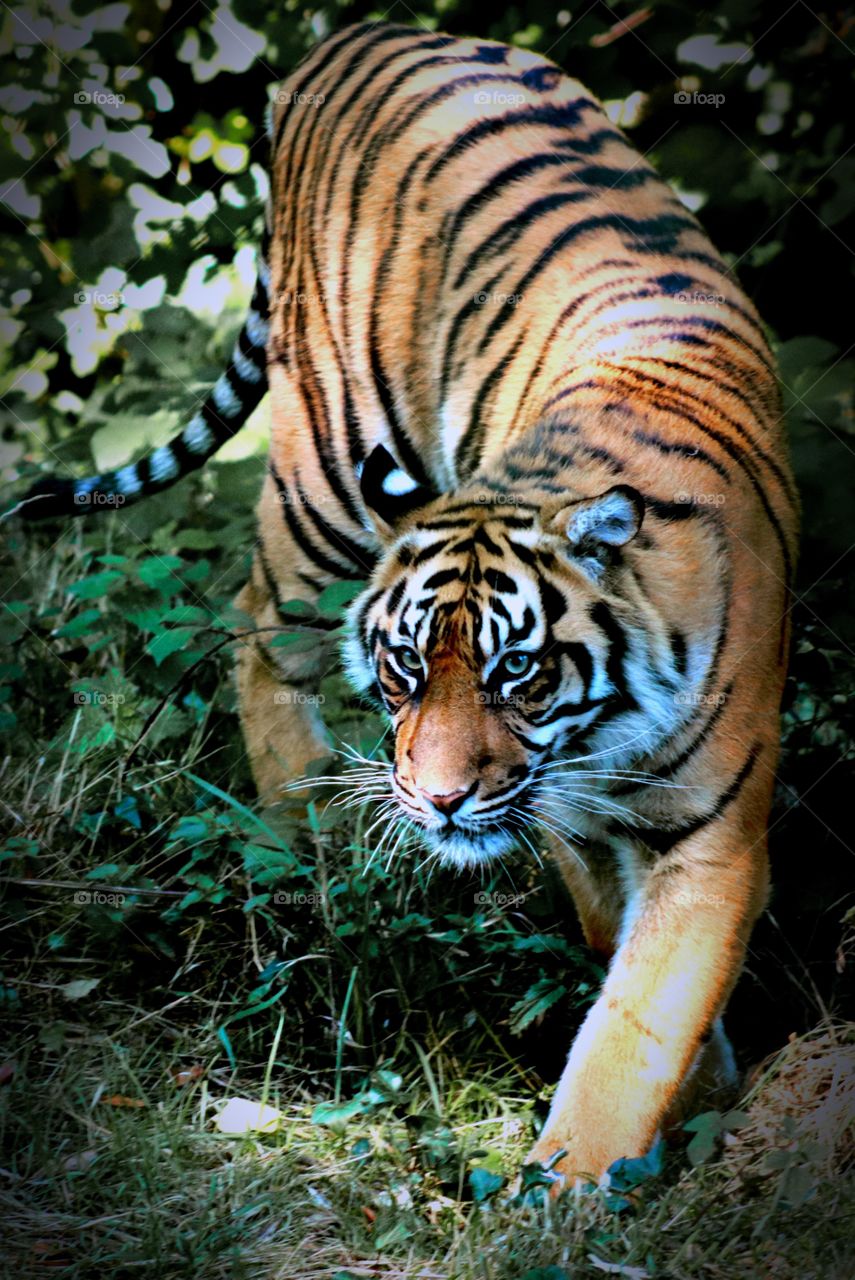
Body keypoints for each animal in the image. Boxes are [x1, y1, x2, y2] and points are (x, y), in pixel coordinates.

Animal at [20, 21, 798, 1188]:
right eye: (402, 669)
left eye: (518, 671)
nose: (435, 802)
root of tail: (360, 31)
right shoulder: (570, 814)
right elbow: (622, 975)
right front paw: (587, 1177)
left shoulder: (702, 840)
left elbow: (641, 1008)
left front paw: (611, 1155)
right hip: (326, 470)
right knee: (257, 620)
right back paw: (299, 827)